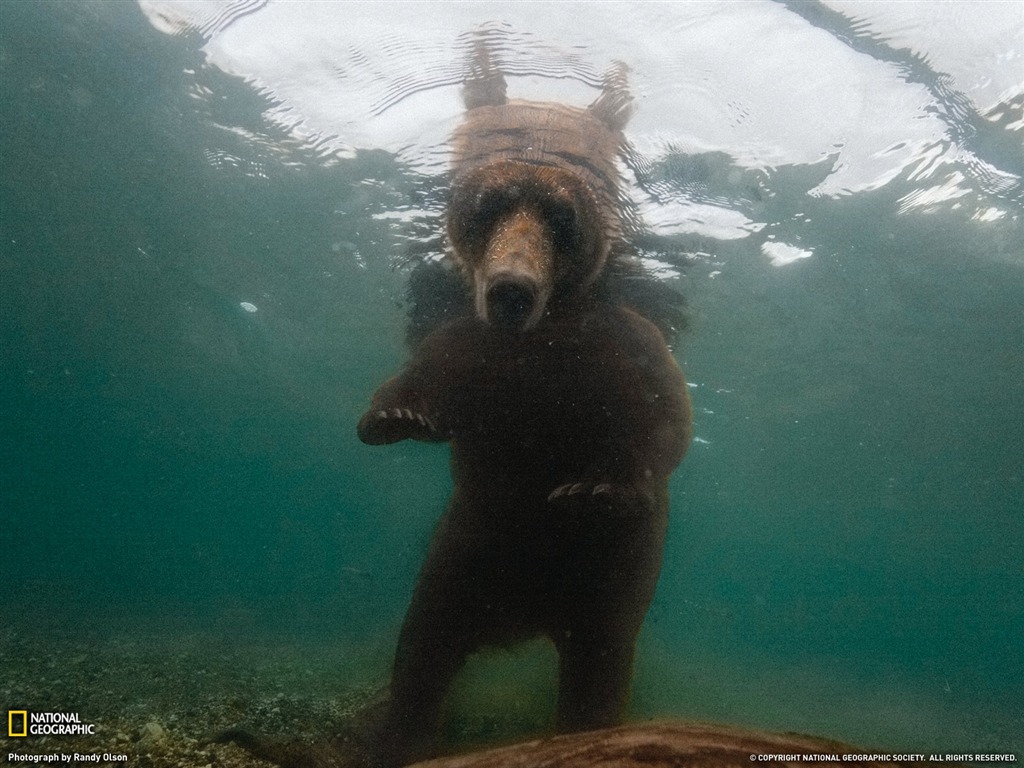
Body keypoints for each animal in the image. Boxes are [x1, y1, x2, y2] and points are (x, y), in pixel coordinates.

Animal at [352, 48, 696, 768]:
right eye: (488, 206)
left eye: (561, 216)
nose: (512, 288)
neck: (542, 340)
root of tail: (524, 617)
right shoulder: (477, 350)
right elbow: (429, 377)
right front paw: (394, 418)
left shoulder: (621, 347)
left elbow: (661, 421)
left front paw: (597, 485)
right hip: (467, 547)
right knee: (425, 643)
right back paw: (400, 733)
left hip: (606, 578)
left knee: (598, 662)